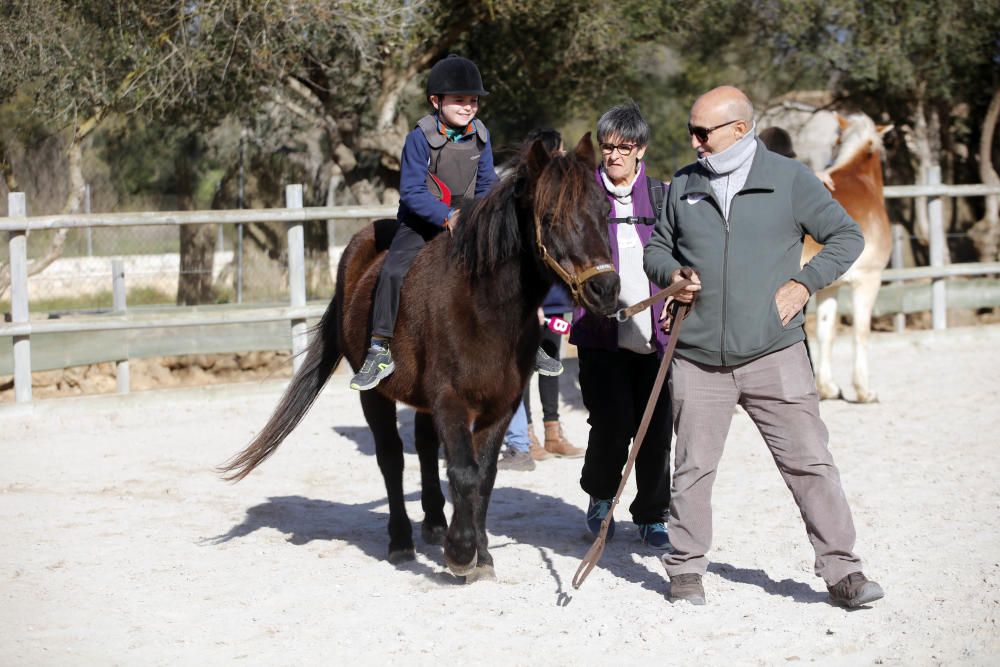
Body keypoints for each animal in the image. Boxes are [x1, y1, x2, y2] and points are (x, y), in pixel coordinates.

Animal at [223, 134, 620, 580]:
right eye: (551, 216)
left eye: (604, 211)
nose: (606, 288)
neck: (484, 306)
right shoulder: (450, 399)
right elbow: (463, 471)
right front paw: (461, 552)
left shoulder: (500, 404)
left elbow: (484, 474)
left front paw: (480, 551)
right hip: (375, 396)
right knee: (392, 458)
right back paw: (400, 541)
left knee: (426, 448)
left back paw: (433, 522)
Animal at [800, 113, 896, 402]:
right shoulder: (868, 280)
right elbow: (861, 333)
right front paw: (864, 390)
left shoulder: (828, 287)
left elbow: (825, 333)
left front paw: (828, 388)